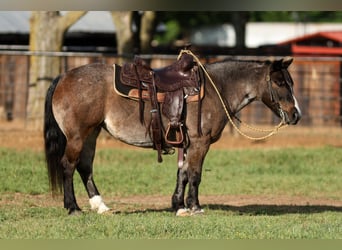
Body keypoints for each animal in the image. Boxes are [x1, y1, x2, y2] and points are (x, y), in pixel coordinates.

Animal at [43, 52, 302, 215]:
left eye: (290, 82)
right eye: (280, 83)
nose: (296, 114)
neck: (216, 88)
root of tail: (64, 76)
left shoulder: (187, 144)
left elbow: (183, 173)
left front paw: (179, 205)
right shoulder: (199, 143)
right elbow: (195, 175)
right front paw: (195, 207)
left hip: (92, 134)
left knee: (85, 167)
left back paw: (100, 206)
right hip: (77, 136)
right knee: (68, 165)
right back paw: (73, 207)